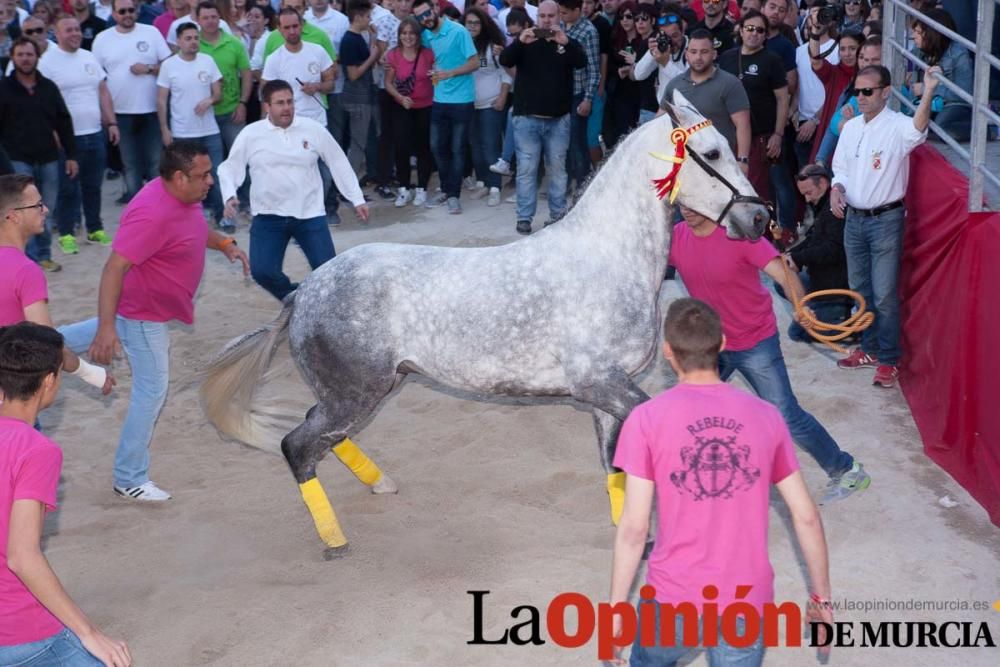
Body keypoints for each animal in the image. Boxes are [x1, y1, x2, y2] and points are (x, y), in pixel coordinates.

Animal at [201, 94, 764, 560]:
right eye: (713, 153)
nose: (760, 220)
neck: (606, 256)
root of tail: (304, 291)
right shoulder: (600, 384)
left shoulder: (607, 395)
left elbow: (616, 468)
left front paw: (636, 539)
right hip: (356, 393)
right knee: (298, 446)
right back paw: (336, 540)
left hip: (362, 390)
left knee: (322, 436)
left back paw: (381, 485)